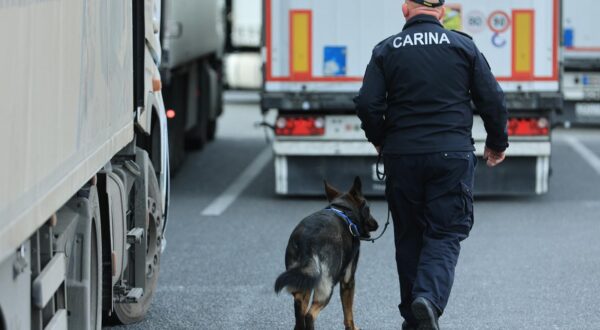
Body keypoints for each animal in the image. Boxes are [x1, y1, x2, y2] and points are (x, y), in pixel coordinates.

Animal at [274, 178, 378, 330]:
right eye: (368, 208)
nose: (377, 224)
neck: (343, 211)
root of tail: (308, 240)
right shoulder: (348, 280)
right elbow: (348, 313)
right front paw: (352, 328)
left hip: (303, 280)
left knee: (299, 305)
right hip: (327, 287)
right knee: (310, 314)